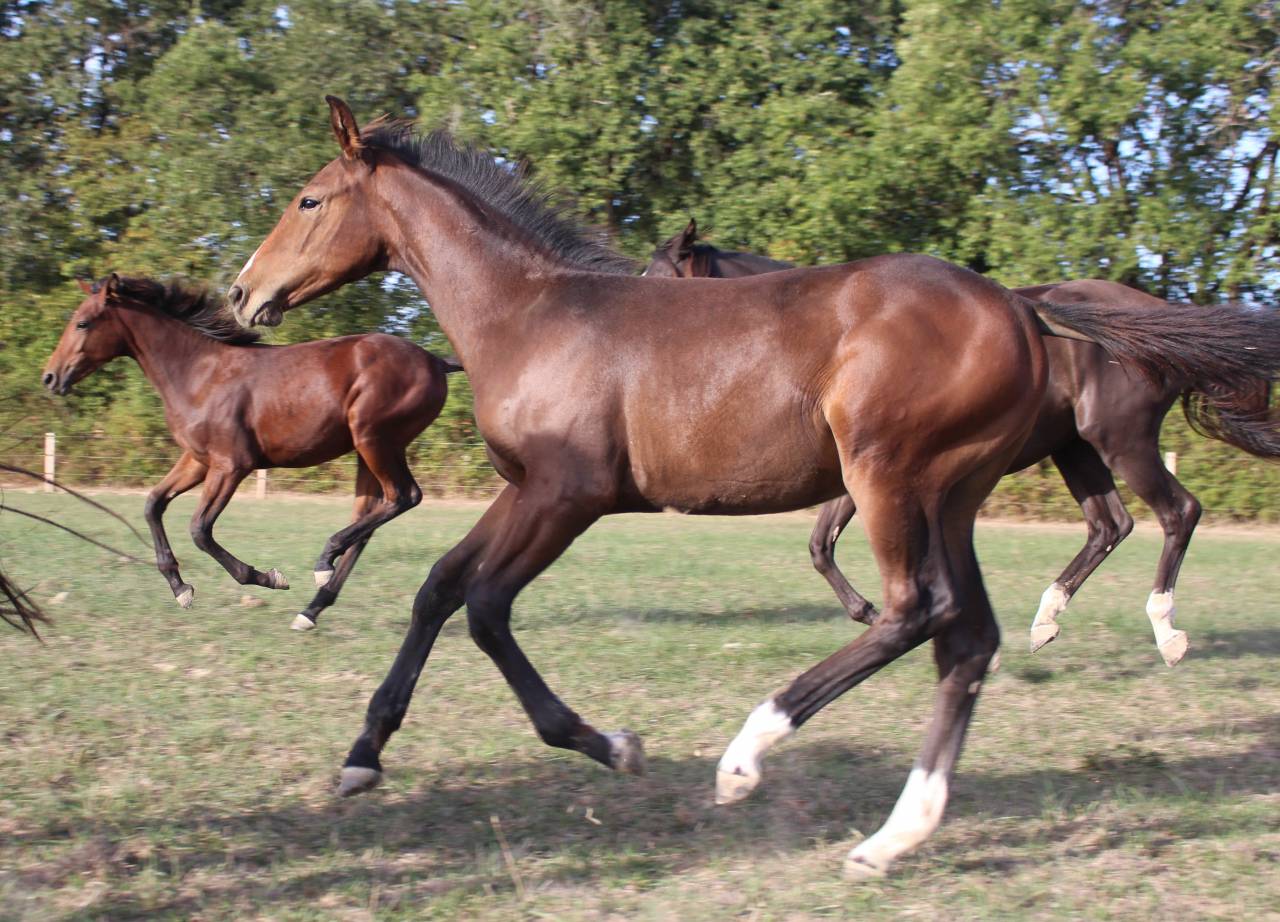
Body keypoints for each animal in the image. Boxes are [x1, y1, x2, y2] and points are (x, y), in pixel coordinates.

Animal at [43, 274, 457, 631]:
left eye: (82, 323)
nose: (50, 377)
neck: (200, 375)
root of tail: (435, 361)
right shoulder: (197, 461)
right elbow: (153, 504)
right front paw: (181, 589)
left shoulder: (231, 465)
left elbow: (200, 530)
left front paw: (267, 577)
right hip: (365, 450)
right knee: (371, 516)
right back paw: (311, 609)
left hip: (377, 440)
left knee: (403, 497)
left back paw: (324, 560)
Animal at [644, 225, 1280, 667]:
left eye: (659, 277)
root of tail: (1155, 311)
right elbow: (821, 545)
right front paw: (878, 616)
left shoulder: (877, 469)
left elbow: (825, 546)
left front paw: (881, 617)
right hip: (1076, 449)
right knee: (1109, 524)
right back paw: (1044, 623)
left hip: (1121, 438)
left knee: (1178, 512)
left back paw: (1167, 632)